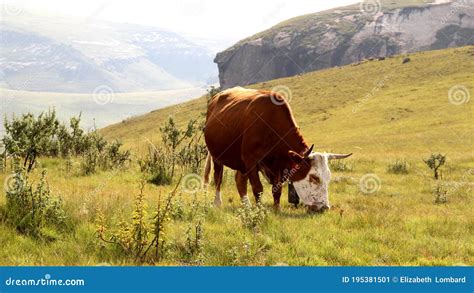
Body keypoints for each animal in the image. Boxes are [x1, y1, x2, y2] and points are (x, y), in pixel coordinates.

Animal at [202, 86, 350, 212]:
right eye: (314, 177)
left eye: (328, 177)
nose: (324, 207)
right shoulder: (251, 160)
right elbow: (258, 188)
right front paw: (259, 210)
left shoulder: (279, 164)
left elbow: (276, 190)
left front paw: (276, 209)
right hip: (217, 157)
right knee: (218, 177)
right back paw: (218, 203)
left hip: (240, 163)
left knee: (240, 180)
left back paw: (247, 206)